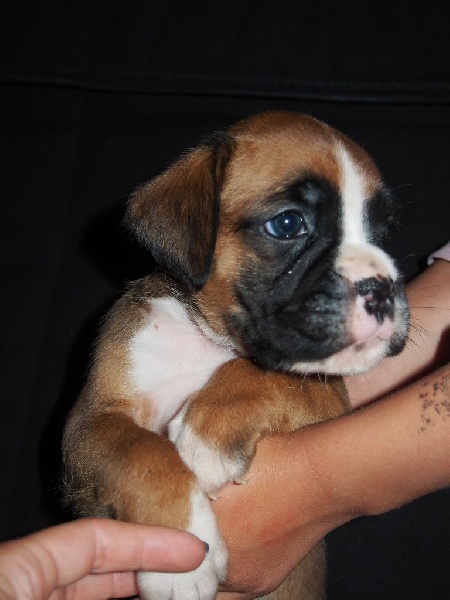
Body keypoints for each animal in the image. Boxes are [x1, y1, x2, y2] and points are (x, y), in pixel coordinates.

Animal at [63, 111, 409, 600]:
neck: (211, 338)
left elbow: (266, 374)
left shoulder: (327, 398)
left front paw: (207, 433)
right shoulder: (92, 423)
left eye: (381, 232)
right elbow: (142, 454)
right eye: (287, 224)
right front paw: (178, 557)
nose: (382, 288)